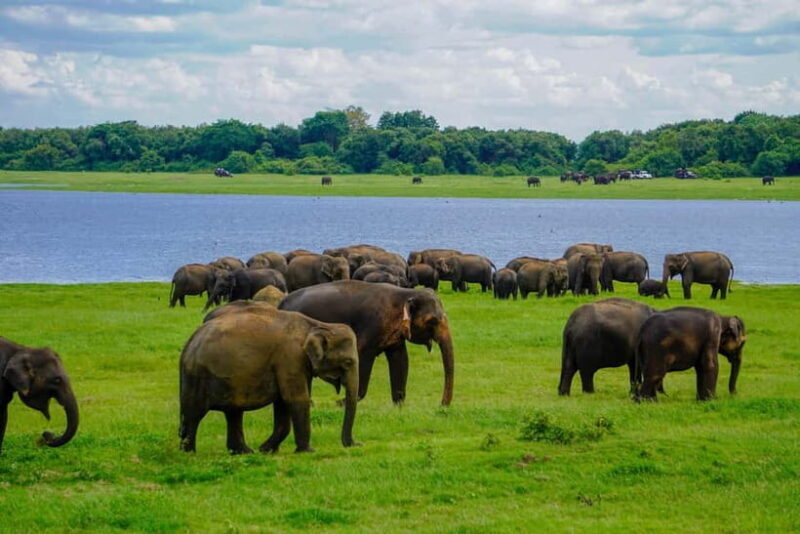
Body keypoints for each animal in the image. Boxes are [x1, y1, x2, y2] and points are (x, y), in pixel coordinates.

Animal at [179, 306, 359, 454]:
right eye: (348, 362)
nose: (356, 444)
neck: (317, 325)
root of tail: (190, 341)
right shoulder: (291, 357)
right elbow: (296, 398)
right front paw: (308, 451)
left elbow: (282, 402)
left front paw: (266, 450)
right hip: (198, 376)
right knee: (194, 414)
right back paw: (189, 453)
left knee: (233, 412)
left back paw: (244, 452)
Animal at [280, 280, 455, 406]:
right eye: (432, 321)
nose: (442, 404)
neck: (404, 293)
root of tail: (281, 303)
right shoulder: (371, 326)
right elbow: (362, 357)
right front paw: (342, 403)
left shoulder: (394, 335)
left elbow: (401, 359)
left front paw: (398, 405)